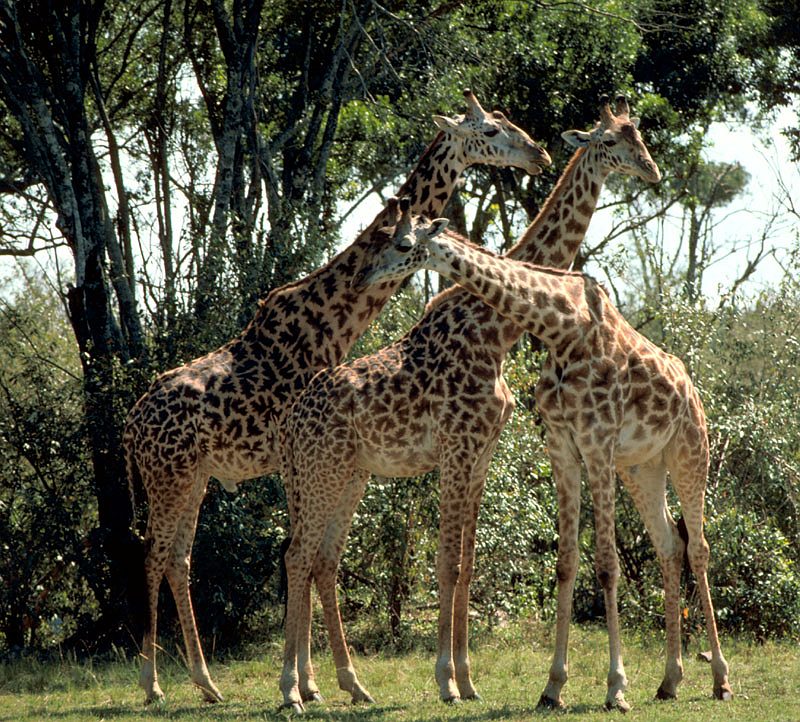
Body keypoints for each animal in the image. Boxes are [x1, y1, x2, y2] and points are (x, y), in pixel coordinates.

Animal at [123, 89, 551, 706]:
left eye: (505, 121)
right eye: (491, 130)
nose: (539, 153)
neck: (335, 319)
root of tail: (131, 426)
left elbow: (308, 559)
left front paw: (314, 681)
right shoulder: (298, 459)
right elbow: (302, 557)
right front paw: (308, 683)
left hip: (195, 476)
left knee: (178, 558)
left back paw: (206, 683)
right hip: (170, 476)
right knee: (156, 554)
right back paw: (154, 684)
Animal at [276, 96, 662, 709]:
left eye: (639, 137)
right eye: (609, 141)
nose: (652, 172)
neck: (496, 330)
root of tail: (289, 422)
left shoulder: (481, 451)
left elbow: (467, 561)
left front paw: (466, 678)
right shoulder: (456, 448)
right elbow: (447, 562)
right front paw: (446, 680)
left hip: (343, 476)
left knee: (320, 559)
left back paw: (339, 685)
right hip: (320, 475)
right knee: (297, 555)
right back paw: (292, 688)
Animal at [353, 209, 733, 711]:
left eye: (399, 245)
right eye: (378, 237)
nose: (362, 278)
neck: (561, 329)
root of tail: (691, 386)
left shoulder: (597, 442)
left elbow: (607, 564)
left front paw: (616, 688)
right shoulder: (562, 445)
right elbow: (566, 562)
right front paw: (553, 687)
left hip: (691, 449)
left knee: (699, 547)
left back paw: (721, 679)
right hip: (642, 466)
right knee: (669, 545)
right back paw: (670, 680)